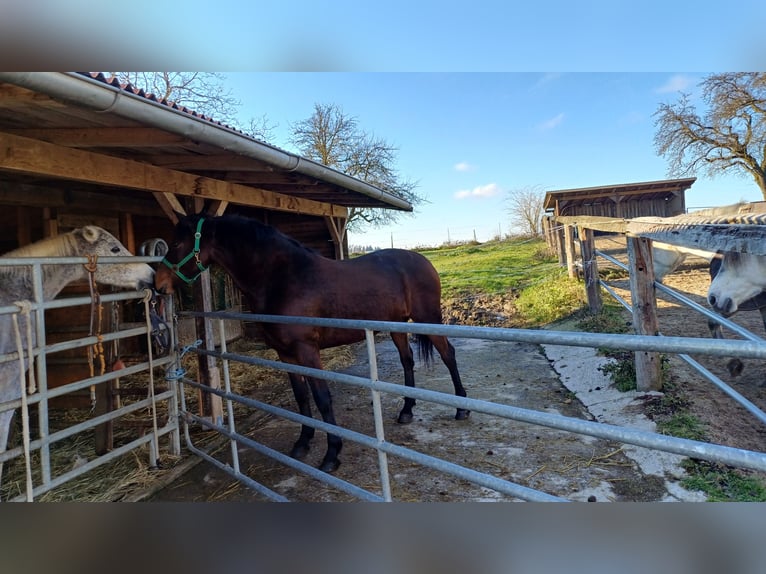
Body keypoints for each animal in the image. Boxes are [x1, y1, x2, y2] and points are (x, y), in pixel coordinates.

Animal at [155, 214, 468, 474]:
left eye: (177, 242)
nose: (157, 284)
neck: (282, 277)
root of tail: (423, 261)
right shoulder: (285, 354)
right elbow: (301, 397)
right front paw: (302, 443)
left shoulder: (308, 351)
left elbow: (322, 398)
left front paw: (332, 454)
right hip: (398, 327)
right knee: (407, 360)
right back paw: (406, 411)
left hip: (428, 319)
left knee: (449, 355)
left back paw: (462, 408)